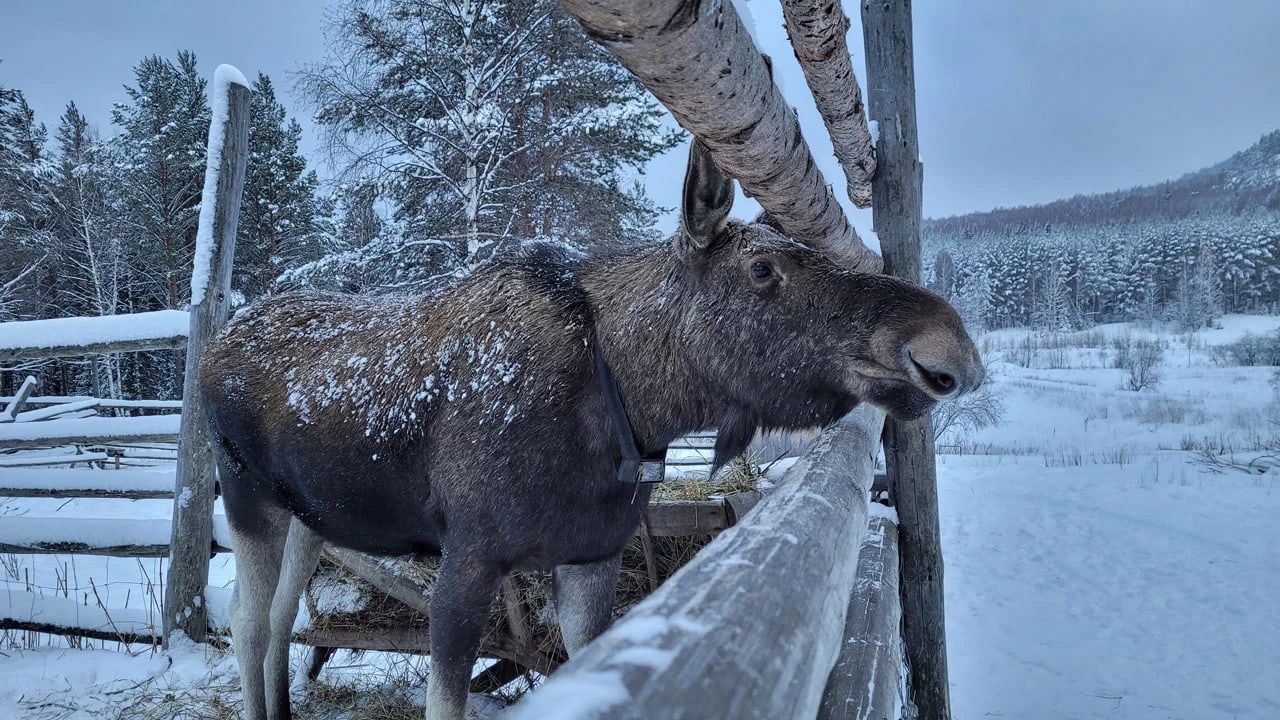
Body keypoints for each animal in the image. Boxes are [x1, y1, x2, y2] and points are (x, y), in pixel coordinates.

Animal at [199, 140, 983, 717]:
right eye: (762, 269)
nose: (947, 349)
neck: (630, 413)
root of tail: (214, 342)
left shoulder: (592, 558)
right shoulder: (469, 557)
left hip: (312, 514)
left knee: (278, 621)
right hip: (246, 495)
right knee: (245, 620)